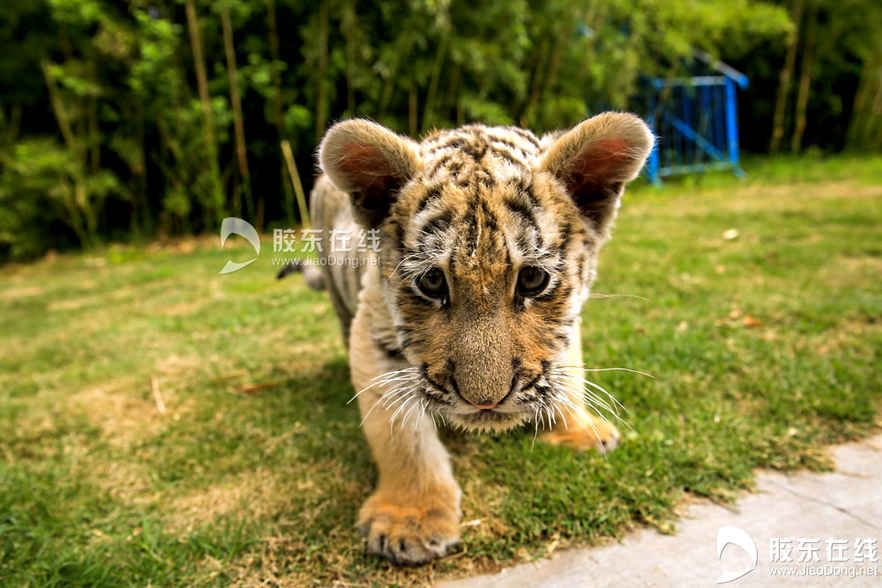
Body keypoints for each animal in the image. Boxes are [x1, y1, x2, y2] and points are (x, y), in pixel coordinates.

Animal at [298, 113, 653, 565]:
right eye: (432, 282)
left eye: (533, 279)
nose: (485, 401)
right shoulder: (373, 333)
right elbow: (400, 435)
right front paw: (410, 521)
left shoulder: (565, 323)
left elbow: (569, 371)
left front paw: (579, 431)